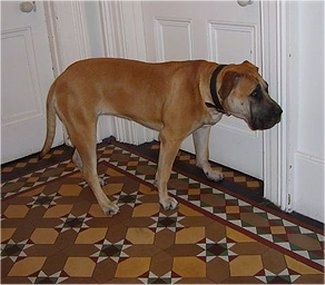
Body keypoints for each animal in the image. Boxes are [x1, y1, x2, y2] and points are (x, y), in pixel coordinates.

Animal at [40, 58, 280, 213]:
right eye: (254, 94)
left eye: (267, 88)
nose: (280, 113)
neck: (204, 87)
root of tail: (58, 80)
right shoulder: (170, 138)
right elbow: (164, 173)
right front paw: (164, 200)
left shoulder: (202, 130)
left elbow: (203, 154)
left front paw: (209, 172)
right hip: (85, 129)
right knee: (88, 169)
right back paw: (105, 203)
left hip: (80, 130)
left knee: (79, 160)